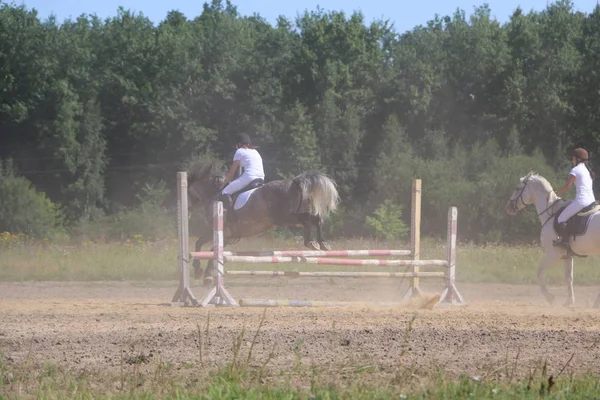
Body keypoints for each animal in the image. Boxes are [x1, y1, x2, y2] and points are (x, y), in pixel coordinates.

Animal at [189, 161, 338, 286]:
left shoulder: (218, 232)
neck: (214, 195)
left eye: (189, 190)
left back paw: (314, 242)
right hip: (292, 217)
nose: (189, 209)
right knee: (314, 219)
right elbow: (209, 249)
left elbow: (203, 246)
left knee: (310, 219)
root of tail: (294, 182)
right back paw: (318, 243)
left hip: (284, 218)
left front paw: (202, 273)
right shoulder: (228, 237)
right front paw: (204, 273)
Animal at [506, 171, 600, 306]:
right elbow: (568, 278)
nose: (508, 207)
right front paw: (569, 301)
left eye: (517, 188)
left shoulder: (553, 254)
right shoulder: (567, 255)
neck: (550, 212)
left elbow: (539, 271)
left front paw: (549, 297)